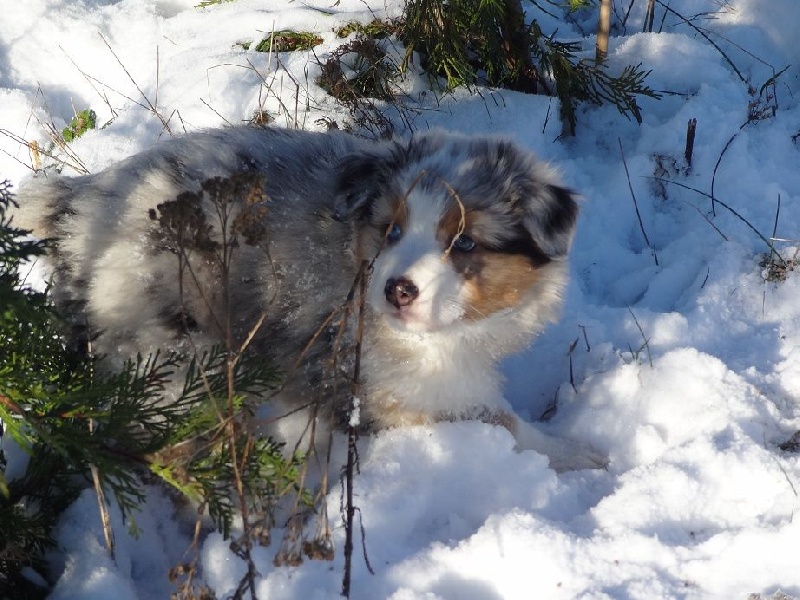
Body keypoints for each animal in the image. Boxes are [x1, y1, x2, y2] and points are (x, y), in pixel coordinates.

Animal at [13, 125, 602, 472]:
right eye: (391, 230)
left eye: (465, 243)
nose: (397, 290)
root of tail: (76, 207)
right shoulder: (388, 384)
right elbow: (502, 423)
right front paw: (588, 457)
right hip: (170, 349)